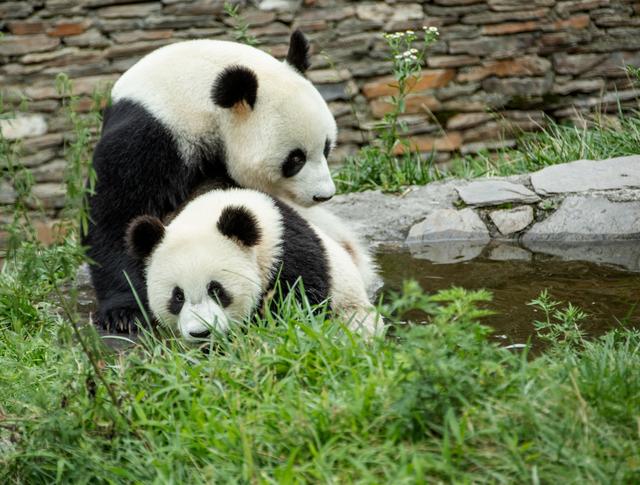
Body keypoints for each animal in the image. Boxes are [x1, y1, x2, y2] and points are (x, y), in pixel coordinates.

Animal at [86, 31, 340, 332]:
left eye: (326, 148)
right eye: (295, 159)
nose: (323, 195)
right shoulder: (152, 133)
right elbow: (116, 213)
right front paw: (126, 313)